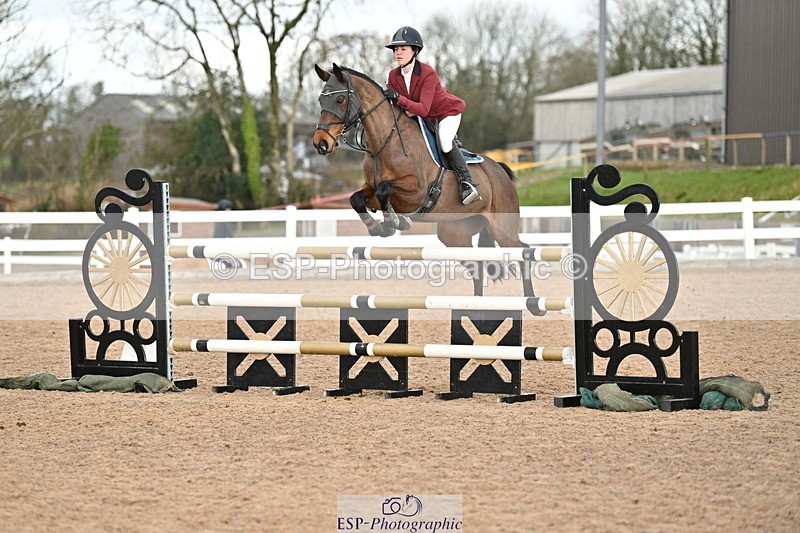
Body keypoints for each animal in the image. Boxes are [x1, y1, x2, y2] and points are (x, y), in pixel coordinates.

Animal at [312, 63, 538, 300]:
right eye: (320, 100)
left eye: (339, 100)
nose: (321, 143)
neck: (384, 141)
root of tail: (500, 171)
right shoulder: (369, 190)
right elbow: (357, 199)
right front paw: (380, 228)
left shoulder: (417, 192)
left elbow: (384, 190)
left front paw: (396, 222)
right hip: (455, 234)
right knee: (476, 264)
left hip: (502, 228)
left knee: (523, 252)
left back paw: (531, 300)